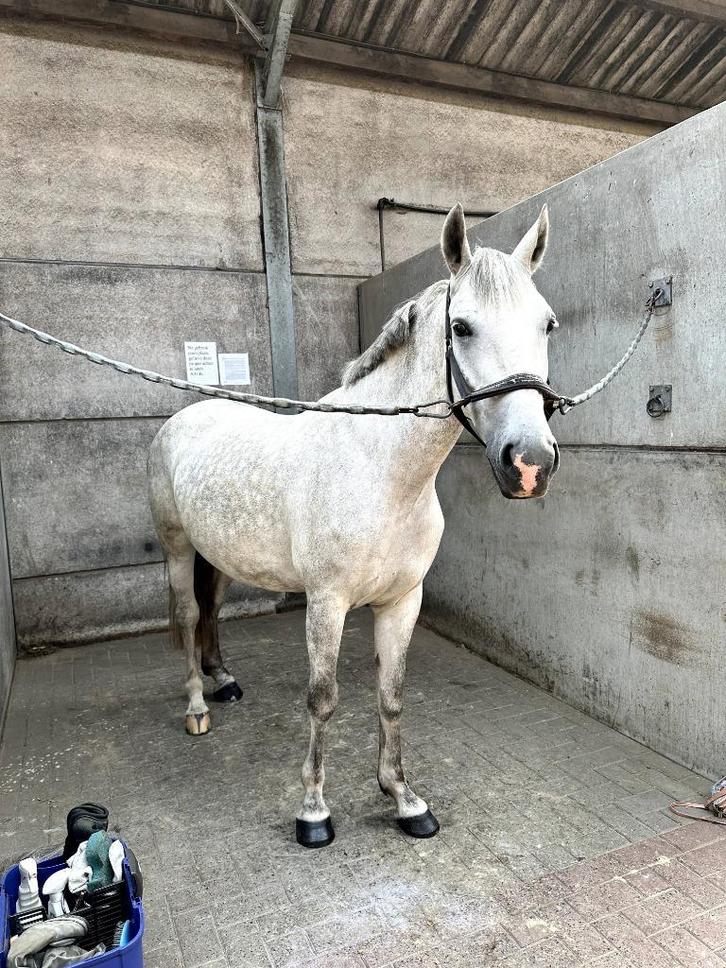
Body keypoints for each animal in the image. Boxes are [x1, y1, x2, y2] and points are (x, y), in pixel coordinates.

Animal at [148, 203, 560, 847]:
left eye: (547, 325)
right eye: (462, 327)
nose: (530, 463)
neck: (378, 469)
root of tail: (183, 418)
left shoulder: (402, 601)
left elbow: (391, 697)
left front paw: (404, 799)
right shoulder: (327, 603)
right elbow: (323, 700)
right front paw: (314, 811)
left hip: (220, 554)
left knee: (210, 609)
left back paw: (224, 681)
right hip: (177, 548)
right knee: (190, 616)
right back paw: (197, 706)